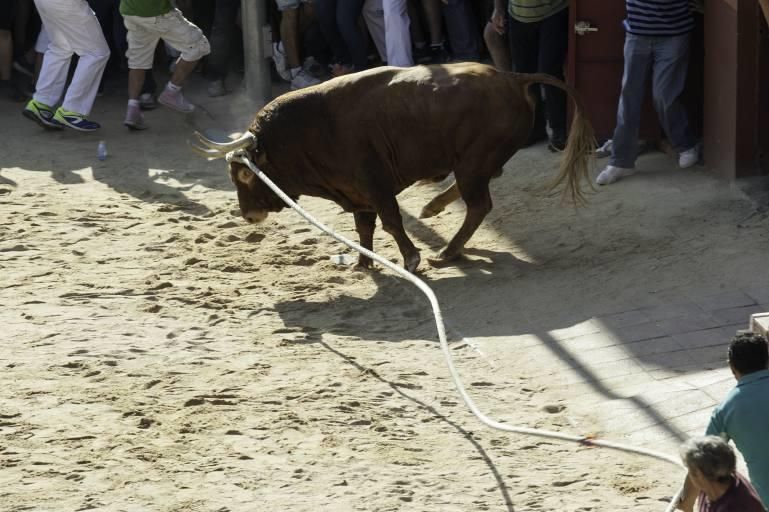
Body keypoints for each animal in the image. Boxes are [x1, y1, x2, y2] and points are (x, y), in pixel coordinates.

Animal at [192, 61, 592, 272]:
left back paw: (446, 253)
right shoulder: (356, 192)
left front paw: (411, 259)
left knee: (479, 204)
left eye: (245, 174)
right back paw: (433, 210)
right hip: (474, 163)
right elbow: (364, 227)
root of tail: (511, 78)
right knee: (485, 185)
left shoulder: (374, 183)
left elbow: (391, 221)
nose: (248, 215)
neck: (308, 129)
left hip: (473, 161)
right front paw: (362, 262)